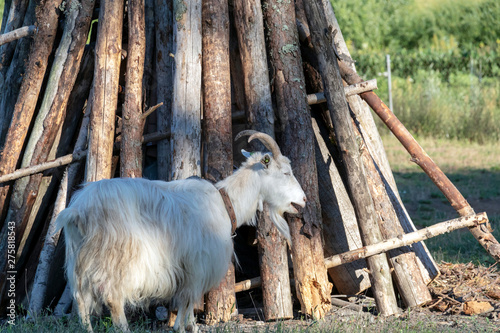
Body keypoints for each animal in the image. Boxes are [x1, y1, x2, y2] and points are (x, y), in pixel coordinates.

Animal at [54, 131, 304, 330]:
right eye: (285, 173)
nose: (303, 200)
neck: (226, 203)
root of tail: (78, 210)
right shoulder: (198, 264)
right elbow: (189, 306)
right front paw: (184, 327)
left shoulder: (187, 268)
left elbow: (186, 306)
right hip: (117, 259)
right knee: (113, 298)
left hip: (79, 259)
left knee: (80, 300)